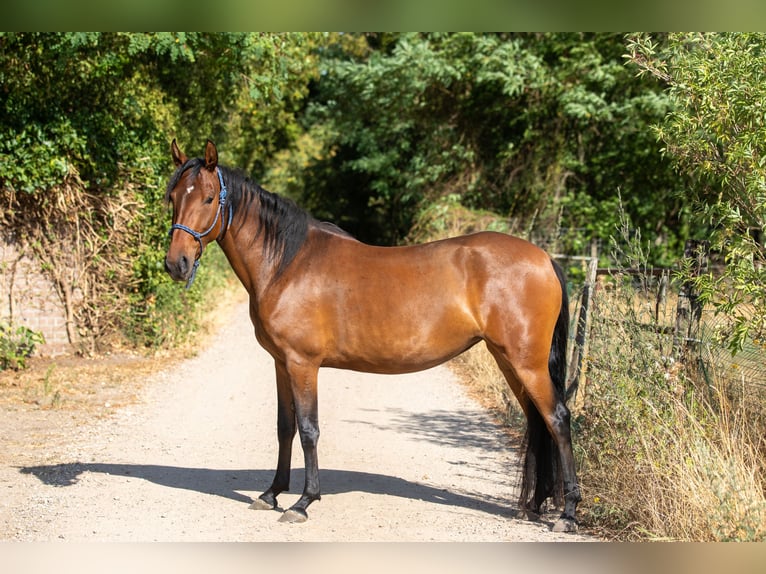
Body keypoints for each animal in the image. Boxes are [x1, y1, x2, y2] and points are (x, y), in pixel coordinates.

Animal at [164, 139, 581, 532]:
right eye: (173, 197)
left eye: (208, 198)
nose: (175, 264)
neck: (287, 262)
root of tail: (545, 258)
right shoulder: (281, 363)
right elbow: (285, 428)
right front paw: (271, 494)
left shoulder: (303, 364)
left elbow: (309, 429)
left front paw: (303, 502)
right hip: (509, 360)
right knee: (537, 420)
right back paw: (534, 504)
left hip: (526, 363)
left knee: (558, 418)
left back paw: (568, 513)